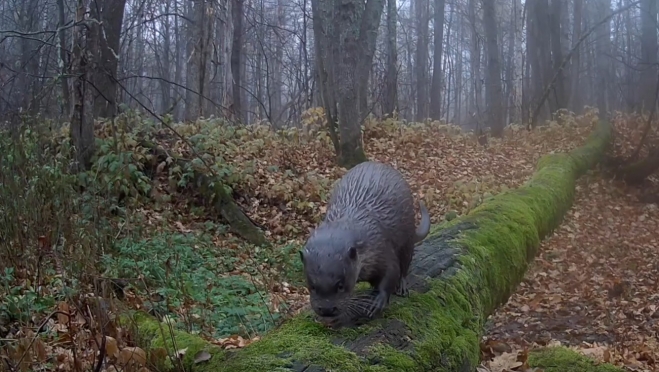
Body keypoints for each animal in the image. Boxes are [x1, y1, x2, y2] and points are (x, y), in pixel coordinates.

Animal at [300, 161, 434, 322]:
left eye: (340, 285)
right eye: (312, 286)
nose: (327, 309)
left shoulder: (380, 246)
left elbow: (392, 271)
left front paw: (378, 301)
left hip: (407, 237)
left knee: (405, 264)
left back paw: (401, 287)